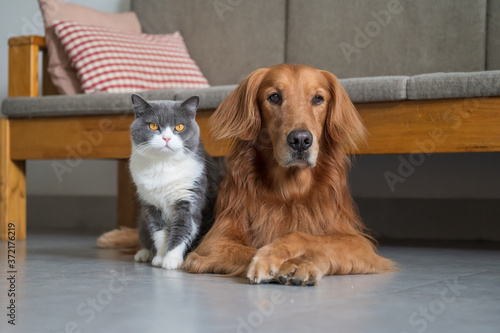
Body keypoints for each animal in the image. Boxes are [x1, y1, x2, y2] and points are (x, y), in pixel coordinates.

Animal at [130, 94, 222, 270]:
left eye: (179, 127)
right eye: (153, 125)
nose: (166, 138)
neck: (164, 166)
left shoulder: (190, 196)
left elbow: (183, 227)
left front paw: (171, 259)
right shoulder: (151, 205)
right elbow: (158, 232)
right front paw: (160, 257)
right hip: (142, 221)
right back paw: (143, 253)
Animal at [183, 63, 394, 284]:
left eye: (318, 99)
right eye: (274, 97)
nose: (300, 140)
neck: (290, 190)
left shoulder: (358, 242)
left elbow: (304, 236)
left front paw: (298, 262)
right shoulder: (215, 241)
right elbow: (251, 249)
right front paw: (276, 262)